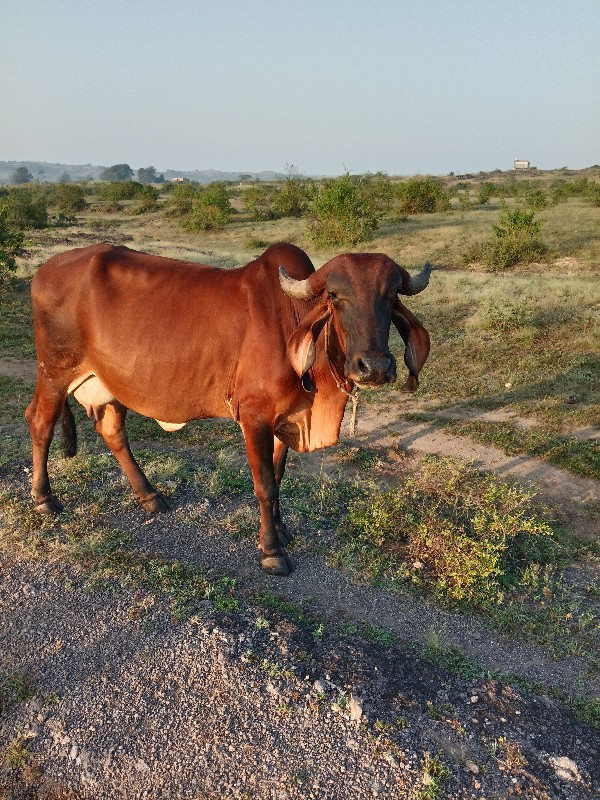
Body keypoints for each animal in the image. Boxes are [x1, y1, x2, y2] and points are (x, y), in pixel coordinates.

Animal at [25, 244, 428, 576]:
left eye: (391, 295)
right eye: (334, 295)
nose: (374, 367)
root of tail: (45, 269)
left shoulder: (285, 418)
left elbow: (279, 475)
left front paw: (281, 530)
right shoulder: (255, 416)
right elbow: (265, 484)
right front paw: (271, 551)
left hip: (111, 384)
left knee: (112, 431)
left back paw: (150, 497)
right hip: (54, 372)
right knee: (40, 422)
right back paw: (44, 499)